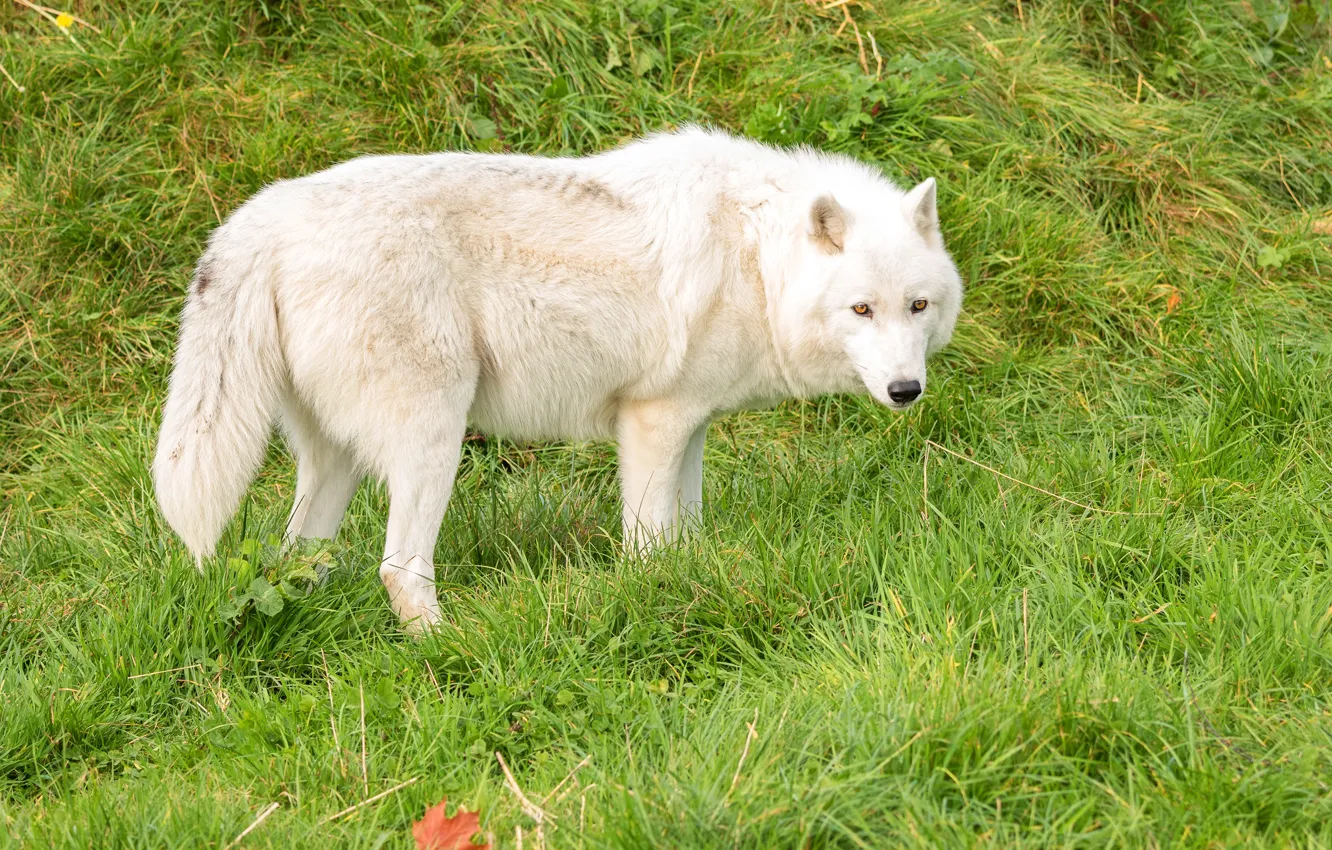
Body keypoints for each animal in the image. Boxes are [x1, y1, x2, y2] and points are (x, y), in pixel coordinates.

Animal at [153, 127, 964, 629]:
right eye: (861, 308)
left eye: (917, 306)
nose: (906, 392)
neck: (759, 259)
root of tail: (263, 216)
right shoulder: (651, 422)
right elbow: (647, 545)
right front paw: (654, 600)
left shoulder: (690, 426)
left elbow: (688, 535)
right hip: (432, 442)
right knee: (399, 568)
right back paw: (448, 645)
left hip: (337, 464)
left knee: (299, 558)